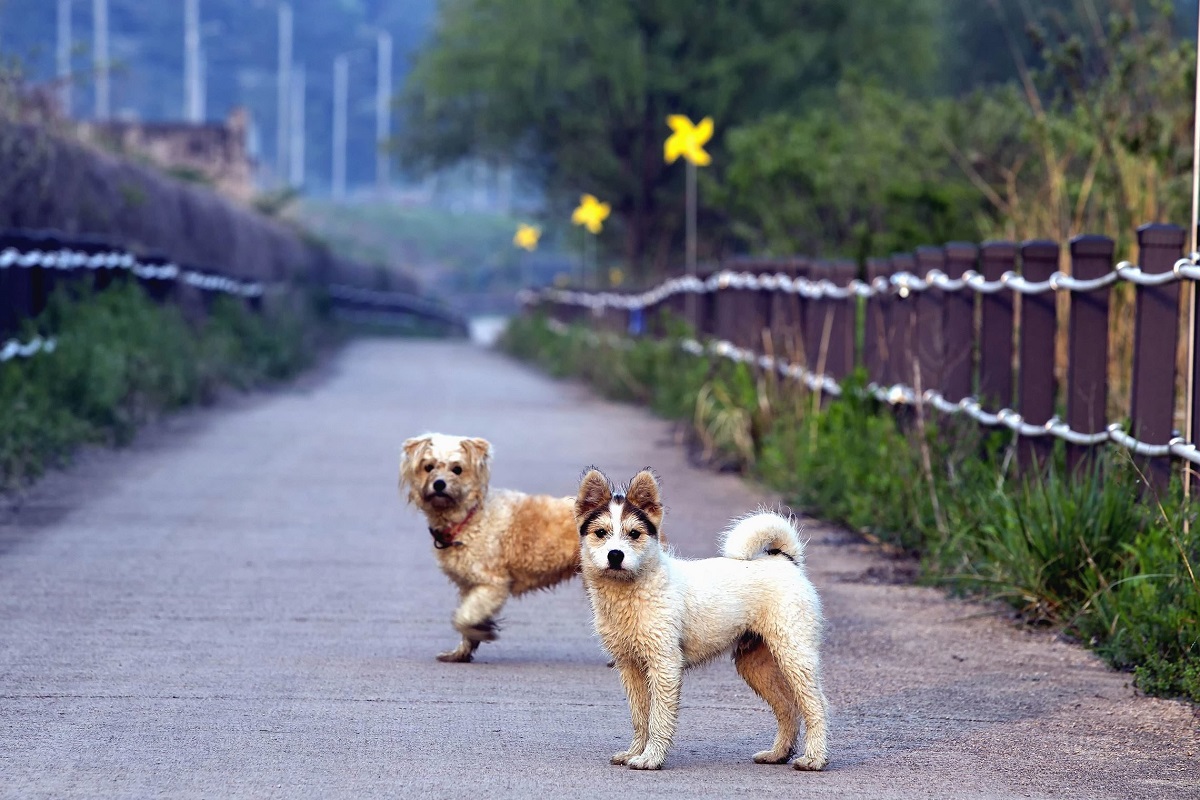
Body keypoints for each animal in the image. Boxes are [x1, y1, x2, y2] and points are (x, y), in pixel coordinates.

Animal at [398, 434, 580, 662]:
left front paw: (482, 632)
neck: (470, 519)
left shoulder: (493, 585)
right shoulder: (469, 586)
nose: (439, 484)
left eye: (457, 469)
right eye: (428, 467)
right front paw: (461, 652)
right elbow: (467, 618)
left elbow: (462, 617)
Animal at [571, 465, 825, 772]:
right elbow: (640, 717)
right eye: (600, 533)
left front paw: (651, 758)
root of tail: (785, 561)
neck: (636, 589)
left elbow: (658, 718)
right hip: (756, 663)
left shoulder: (665, 664)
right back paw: (777, 754)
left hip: (795, 654)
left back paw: (814, 758)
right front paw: (634, 753)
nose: (615, 555)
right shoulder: (629, 666)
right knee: (788, 707)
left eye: (634, 533)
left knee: (816, 705)